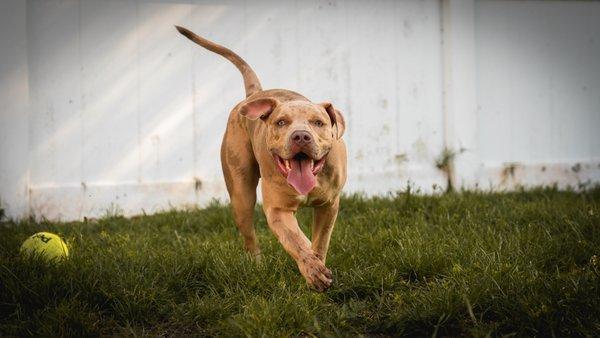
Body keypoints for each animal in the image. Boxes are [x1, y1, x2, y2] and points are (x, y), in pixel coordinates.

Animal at [175, 26, 346, 292]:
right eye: (281, 122)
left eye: (318, 122)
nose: (301, 136)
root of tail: (255, 94)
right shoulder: (277, 211)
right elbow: (296, 241)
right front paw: (313, 270)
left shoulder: (329, 206)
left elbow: (319, 242)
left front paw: (316, 267)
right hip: (241, 195)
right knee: (249, 236)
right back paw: (256, 266)